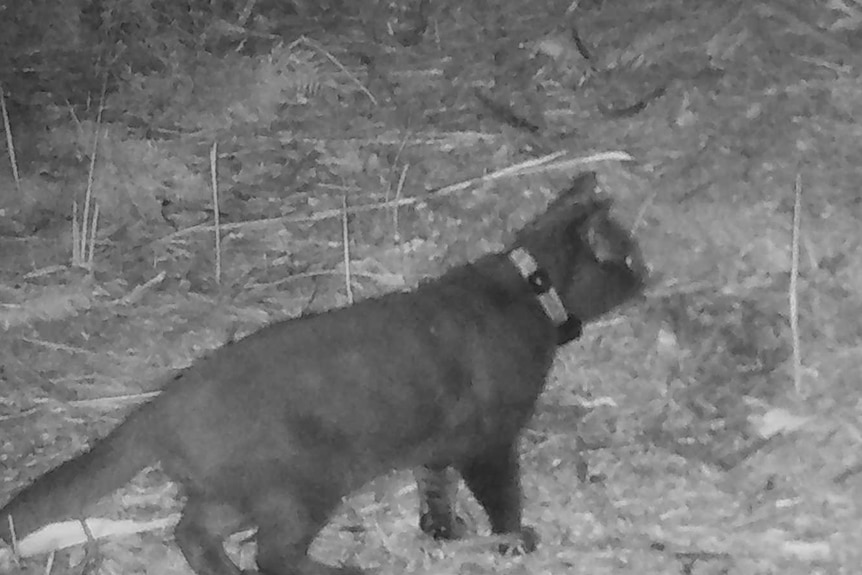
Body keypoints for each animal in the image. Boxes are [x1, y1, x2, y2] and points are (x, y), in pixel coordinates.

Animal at [0, 172, 648, 575]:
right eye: (629, 256)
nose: (649, 275)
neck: (529, 293)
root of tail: (162, 405)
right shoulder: (490, 439)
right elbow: (503, 497)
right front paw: (515, 541)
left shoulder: (440, 440)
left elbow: (433, 484)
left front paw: (442, 529)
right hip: (302, 485)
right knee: (271, 554)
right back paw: (340, 568)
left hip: (244, 491)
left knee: (193, 533)